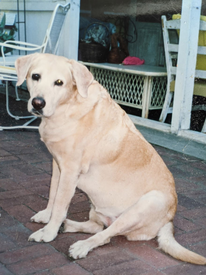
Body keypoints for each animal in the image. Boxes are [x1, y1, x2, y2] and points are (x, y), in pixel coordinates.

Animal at [15, 52, 206, 266]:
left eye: (59, 82)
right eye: (35, 76)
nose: (38, 103)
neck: (68, 106)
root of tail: (169, 221)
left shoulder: (70, 172)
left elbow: (59, 205)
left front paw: (48, 233)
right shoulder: (58, 165)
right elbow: (52, 195)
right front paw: (46, 217)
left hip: (146, 205)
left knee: (105, 236)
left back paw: (81, 246)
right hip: (97, 207)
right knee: (98, 227)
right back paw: (68, 226)